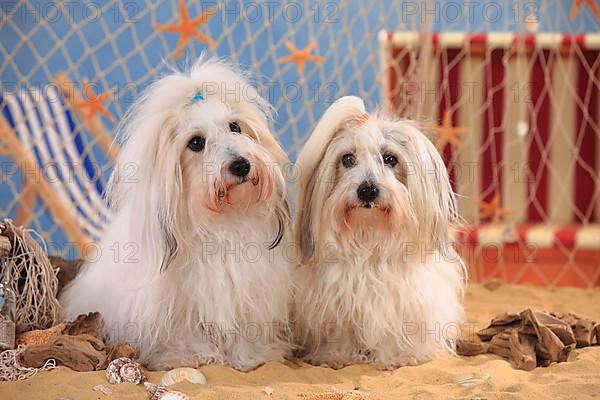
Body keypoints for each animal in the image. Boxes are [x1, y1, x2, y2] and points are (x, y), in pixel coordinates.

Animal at [61, 58, 292, 372]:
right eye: (196, 143)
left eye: (235, 127)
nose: (241, 165)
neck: (220, 223)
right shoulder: (177, 306)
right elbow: (185, 333)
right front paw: (193, 355)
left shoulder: (247, 294)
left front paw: (249, 356)